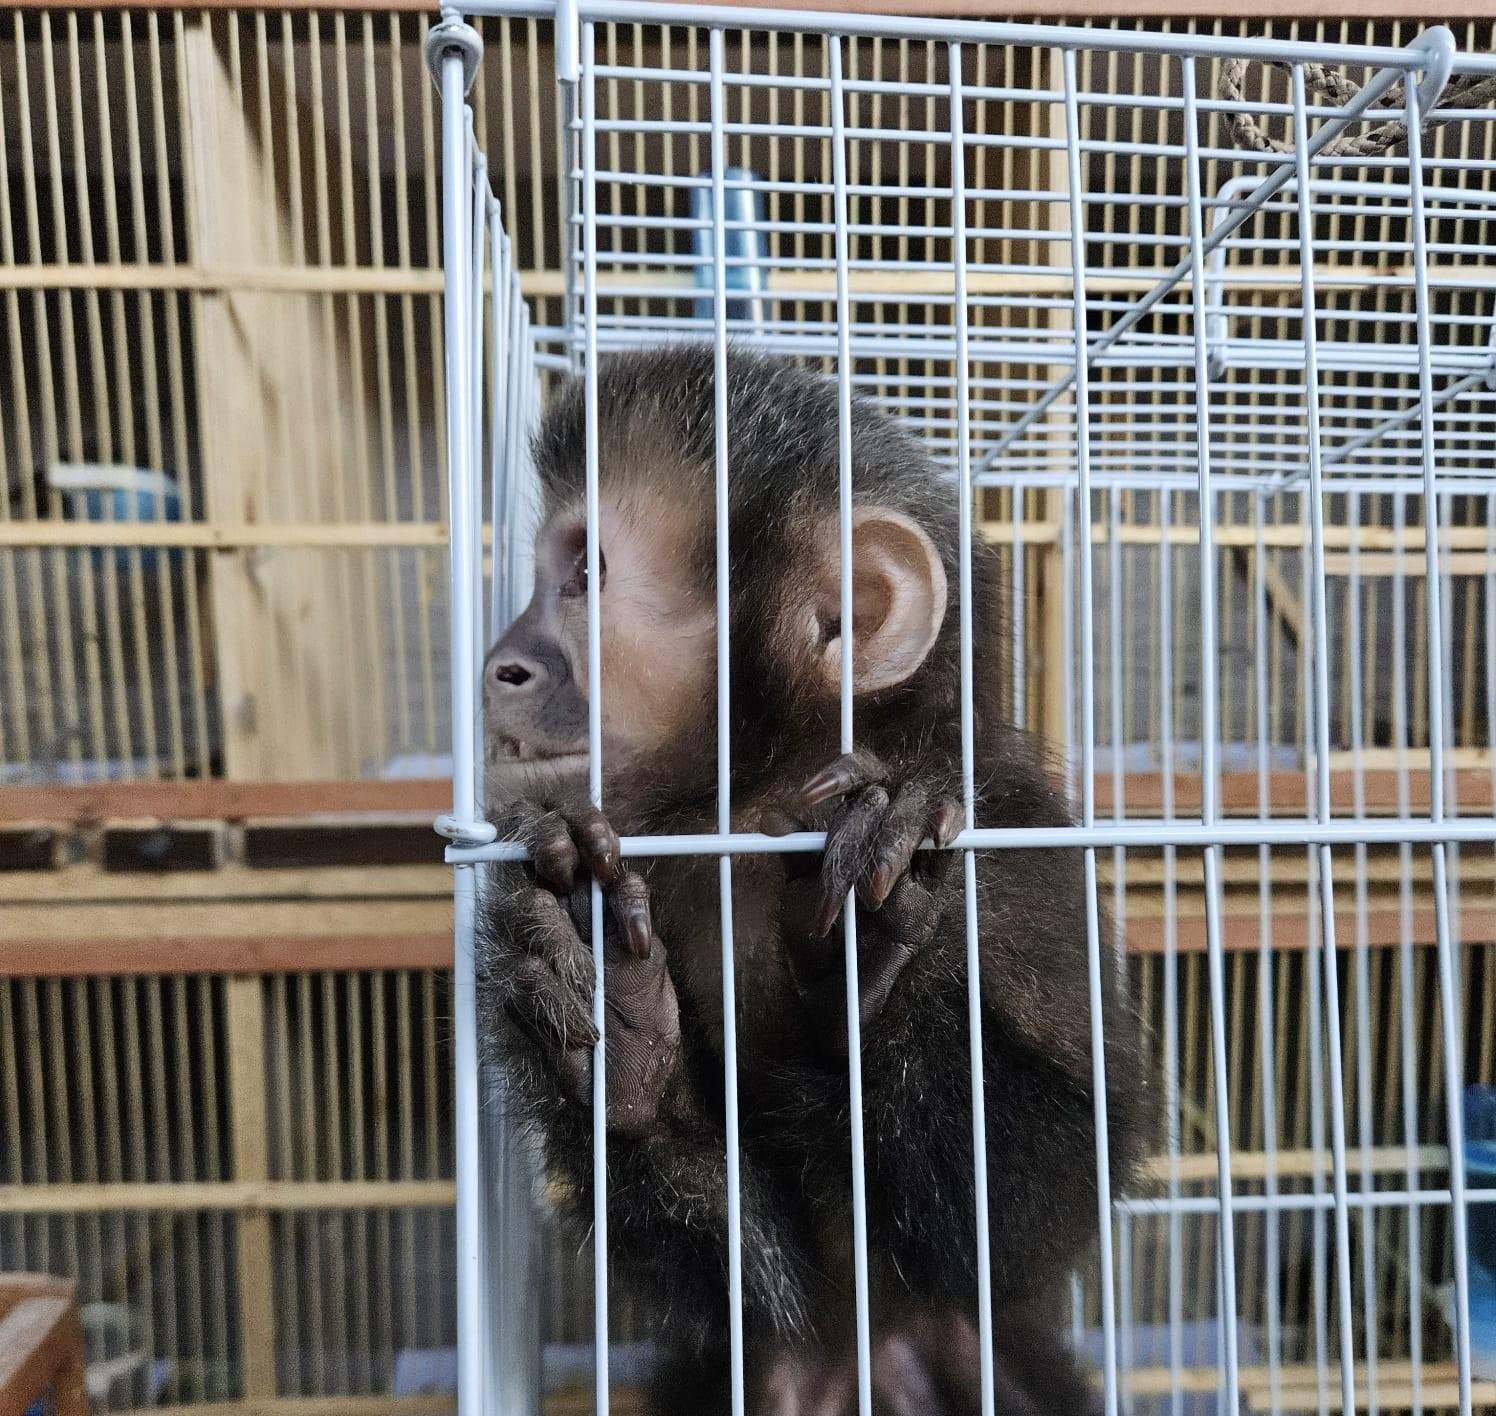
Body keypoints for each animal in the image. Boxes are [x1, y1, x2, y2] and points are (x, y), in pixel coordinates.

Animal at [476, 345, 1145, 1415]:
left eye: (584, 575)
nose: (502, 664)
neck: (764, 803)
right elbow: (751, 1293)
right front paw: (621, 1036)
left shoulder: (1009, 839)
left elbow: (1032, 1222)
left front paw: (876, 957)